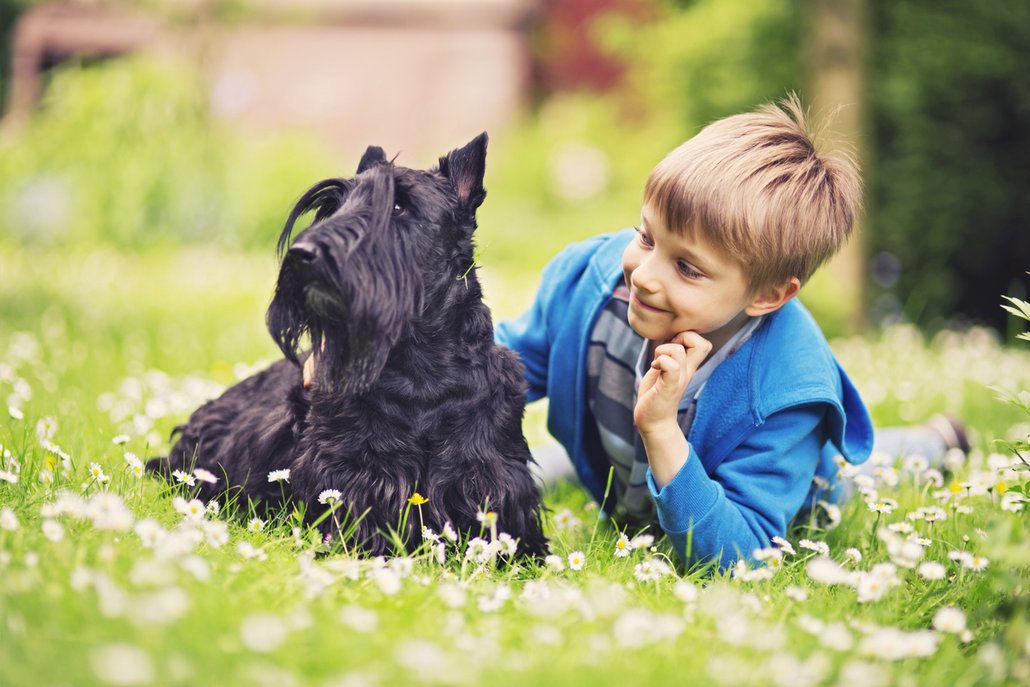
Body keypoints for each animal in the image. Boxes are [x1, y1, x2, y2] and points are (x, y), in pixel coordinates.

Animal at [149, 133, 547, 560]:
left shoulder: (489, 473)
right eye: (334, 207)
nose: (301, 255)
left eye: (398, 205)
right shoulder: (348, 472)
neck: (418, 368)